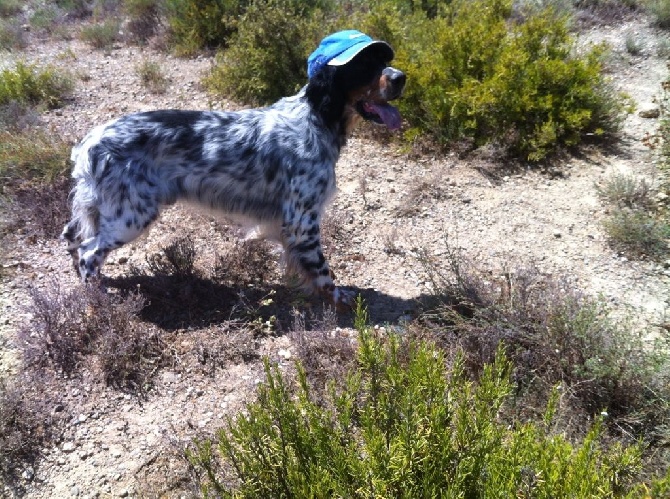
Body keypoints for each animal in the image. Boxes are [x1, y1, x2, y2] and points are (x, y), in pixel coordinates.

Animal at [63, 30, 406, 308]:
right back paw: (100, 300)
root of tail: (89, 143)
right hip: (131, 215)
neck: (316, 118)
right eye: (364, 65)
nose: (401, 77)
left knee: (72, 237)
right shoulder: (302, 220)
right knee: (89, 253)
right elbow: (323, 271)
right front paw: (340, 298)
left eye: (385, 59)